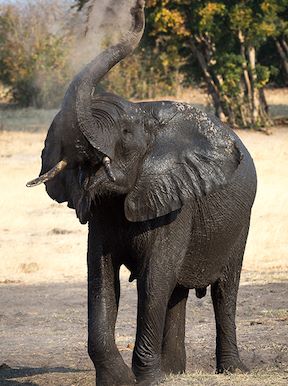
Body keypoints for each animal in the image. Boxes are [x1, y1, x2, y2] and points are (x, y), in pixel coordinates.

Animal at [27, 0, 256, 386]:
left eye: (125, 133)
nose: (138, 7)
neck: (145, 114)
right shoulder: (103, 213)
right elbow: (101, 277)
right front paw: (120, 380)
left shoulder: (176, 204)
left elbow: (154, 279)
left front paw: (146, 380)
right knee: (178, 292)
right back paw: (175, 372)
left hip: (240, 222)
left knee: (224, 290)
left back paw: (231, 370)